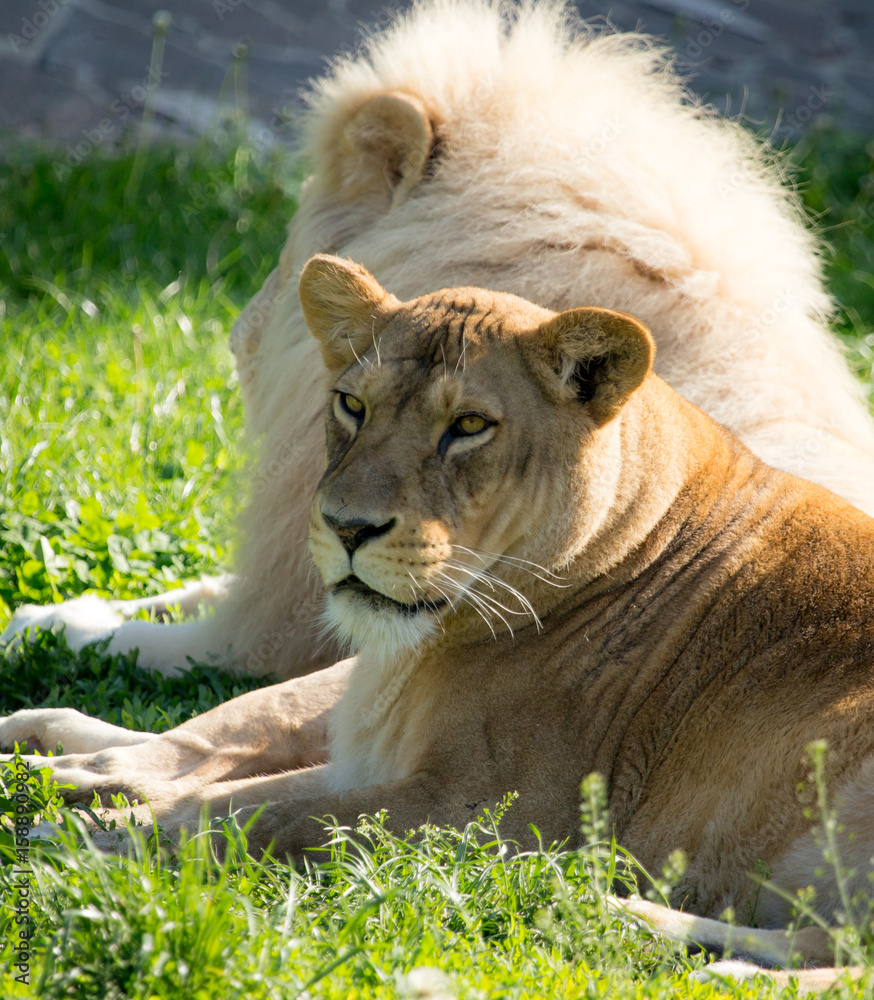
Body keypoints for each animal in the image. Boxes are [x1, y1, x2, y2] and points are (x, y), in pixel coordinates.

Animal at [3, 256, 873, 991]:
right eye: (353, 406)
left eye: (470, 427)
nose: (348, 527)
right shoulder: (381, 766)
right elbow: (234, 789)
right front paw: (77, 800)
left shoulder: (485, 814)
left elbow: (263, 814)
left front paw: (83, 841)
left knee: (841, 957)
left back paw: (688, 953)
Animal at [4, 0, 874, 678]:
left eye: (287, 246)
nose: (236, 335)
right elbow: (194, 585)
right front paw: (67, 605)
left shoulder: (277, 631)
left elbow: (156, 641)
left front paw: (57, 625)